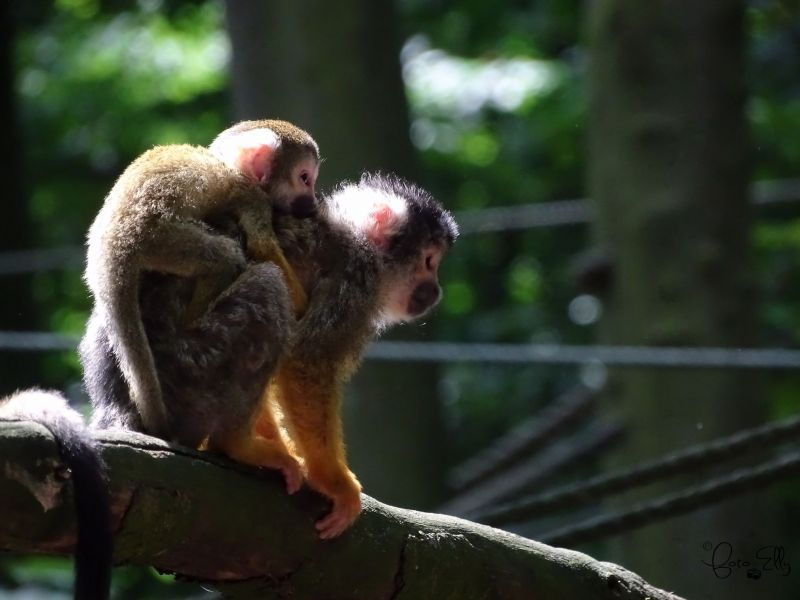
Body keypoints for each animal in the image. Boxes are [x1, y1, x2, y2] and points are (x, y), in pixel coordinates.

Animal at [83, 120, 320, 449]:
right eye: (305, 178)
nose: (313, 203)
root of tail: (110, 244)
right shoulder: (252, 196)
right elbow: (261, 244)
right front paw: (302, 303)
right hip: (161, 239)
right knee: (229, 259)